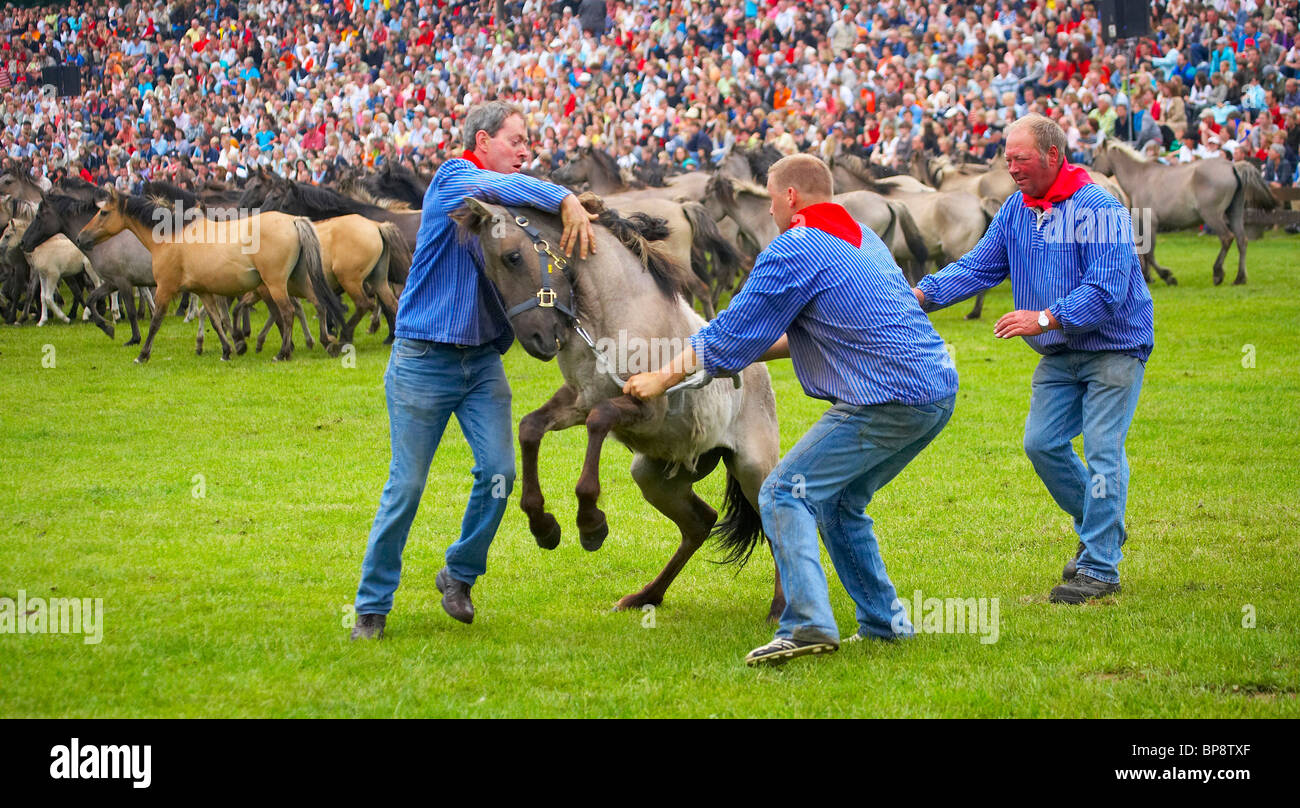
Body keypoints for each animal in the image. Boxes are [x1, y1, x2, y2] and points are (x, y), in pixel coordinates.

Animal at [74, 188, 343, 363]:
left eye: (104, 213)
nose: (80, 237)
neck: (171, 236)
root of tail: (293, 221)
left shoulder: (165, 288)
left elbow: (156, 322)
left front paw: (142, 354)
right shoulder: (202, 291)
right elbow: (215, 319)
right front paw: (227, 350)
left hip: (275, 284)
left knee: (287, 312)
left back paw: (284, 353)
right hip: (296, 281)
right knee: (318, 304)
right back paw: (326, 341)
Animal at [452, 197, 785, 620]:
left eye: (512, 256)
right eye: (487, 268)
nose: (537, 340)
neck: (615, 315)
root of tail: (758, 371)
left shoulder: (644, 408)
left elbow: (599, 423)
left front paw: (590, 524)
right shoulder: (579, 399)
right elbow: (530, 427)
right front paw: (543, 525)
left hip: (752, 469)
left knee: (772, 521)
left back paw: (780, 606)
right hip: (655, 476)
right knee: (700, 523)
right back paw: (645, 596)